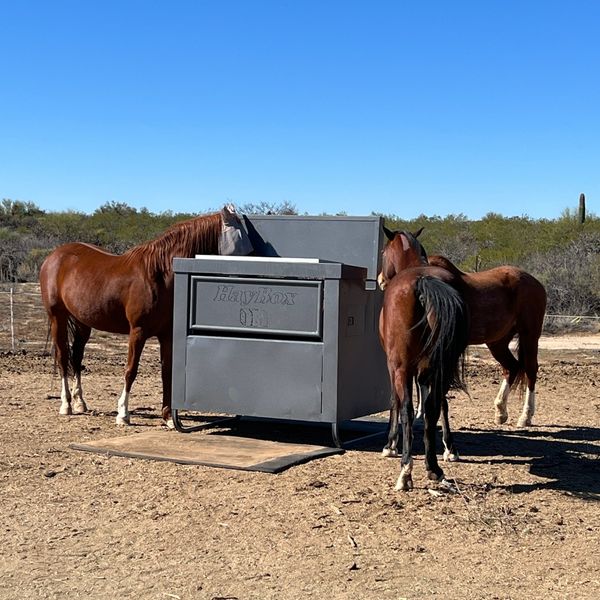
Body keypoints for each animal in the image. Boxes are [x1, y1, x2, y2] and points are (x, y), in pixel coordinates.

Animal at [37, 206, 253, 426]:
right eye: (246, 251)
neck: (159, 274)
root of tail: (55, 256)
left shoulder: (167, 335)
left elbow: (167, 372)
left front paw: (168, 417)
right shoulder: (138, 332)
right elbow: (131, 370)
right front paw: (123, 414)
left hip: (82, 322)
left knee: (77, 356)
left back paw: (80, 402)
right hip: (57, 317)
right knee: (63, 356)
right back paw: (66, 405)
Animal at [378, 227, 472, 490]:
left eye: (383, 252)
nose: (380, 279)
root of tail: (423, 281)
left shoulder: (394, 367)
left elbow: (395, 402)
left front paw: (390, 445)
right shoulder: (427, 370)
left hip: (402, 367)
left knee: (408, 410)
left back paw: (405, 471)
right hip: (442, 366)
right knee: (433, 408)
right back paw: (434, 468)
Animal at [380, 225, 548, 426]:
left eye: (382, 253)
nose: (380, 279)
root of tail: (535, 282)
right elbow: (421, 380)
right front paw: (422, 414)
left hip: (529, 334)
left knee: (530, 369)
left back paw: (525, 416)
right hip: (497, 342)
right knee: (511, 367)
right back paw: (500, 411)